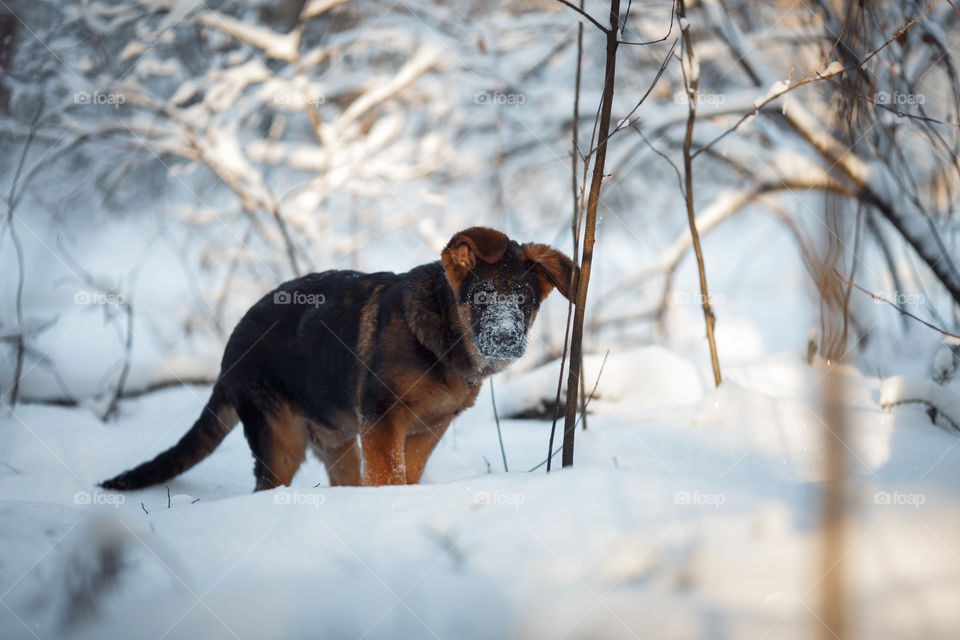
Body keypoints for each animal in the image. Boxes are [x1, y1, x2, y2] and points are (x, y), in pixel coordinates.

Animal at [101, 229, 572, 490]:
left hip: (338, 443)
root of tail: (231, 346)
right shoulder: (382, 422)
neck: (444, 337)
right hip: (281, 442)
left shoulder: (428, 430)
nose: (506, 340)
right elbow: (388, 477)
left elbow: (405, 473)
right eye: (482, 297)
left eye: (525, 301)